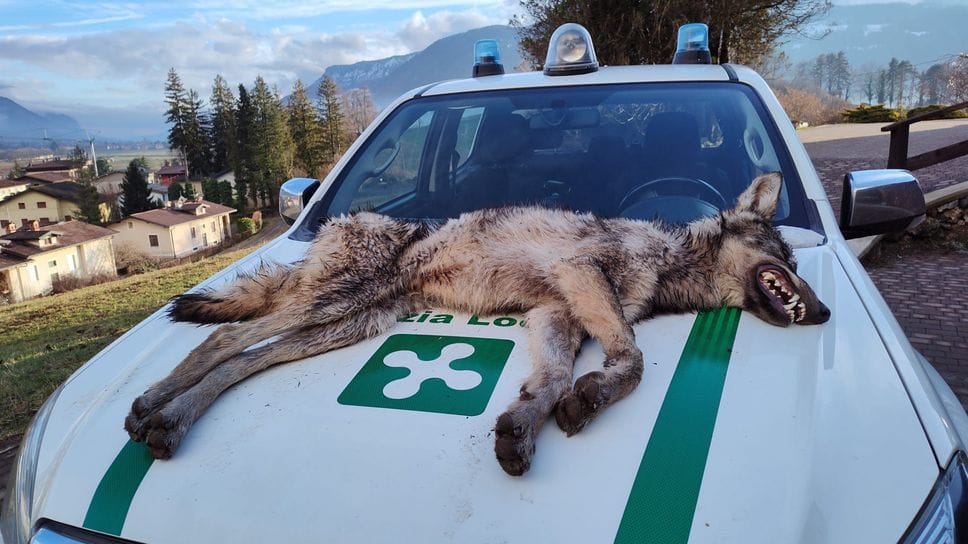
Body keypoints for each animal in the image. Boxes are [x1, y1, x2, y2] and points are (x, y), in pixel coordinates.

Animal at [124, 172, 830, 476]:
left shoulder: (557, 315)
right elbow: (632, 363)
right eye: (789, 259)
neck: (671, 263)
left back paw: (169, 419)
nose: (823, 313)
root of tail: (336, 223)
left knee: (249, 358)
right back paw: (157, 402)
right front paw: (592, 396)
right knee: (226, 337)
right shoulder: (580, 276)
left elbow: (551, 382)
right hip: (332, 303)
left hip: (349, 322)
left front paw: (528, 424)